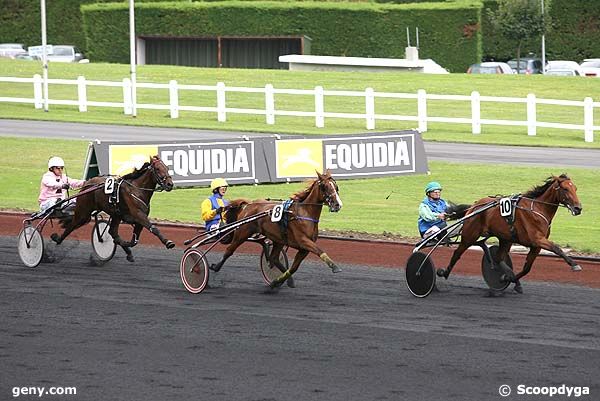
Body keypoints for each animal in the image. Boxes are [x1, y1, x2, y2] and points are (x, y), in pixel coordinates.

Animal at [210, 169, 342, 288]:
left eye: (336, 186)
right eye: (324, 187)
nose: (338, 205)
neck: (304, 213)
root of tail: (248, 204)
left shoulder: (304, 249)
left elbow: (294, 268)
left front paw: (277, 281)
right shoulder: (303, 241)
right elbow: (319, 250)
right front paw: (334, 267)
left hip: (278, 239)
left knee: (273, 258)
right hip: (242, 233)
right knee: (229, 250)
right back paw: (215, 267)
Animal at [438, 173, 584, 292]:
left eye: (575, 188)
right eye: (565, 189)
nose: (578, 208)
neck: (538, 208)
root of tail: (474, 206)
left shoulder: (536, 246)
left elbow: (527, 268)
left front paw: (508, 279)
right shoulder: (537, 239)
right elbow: (556, 248)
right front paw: (574, 264)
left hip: (505, 238)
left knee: (498, 258)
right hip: (470, 235)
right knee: (457, 253)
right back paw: (444, 272)